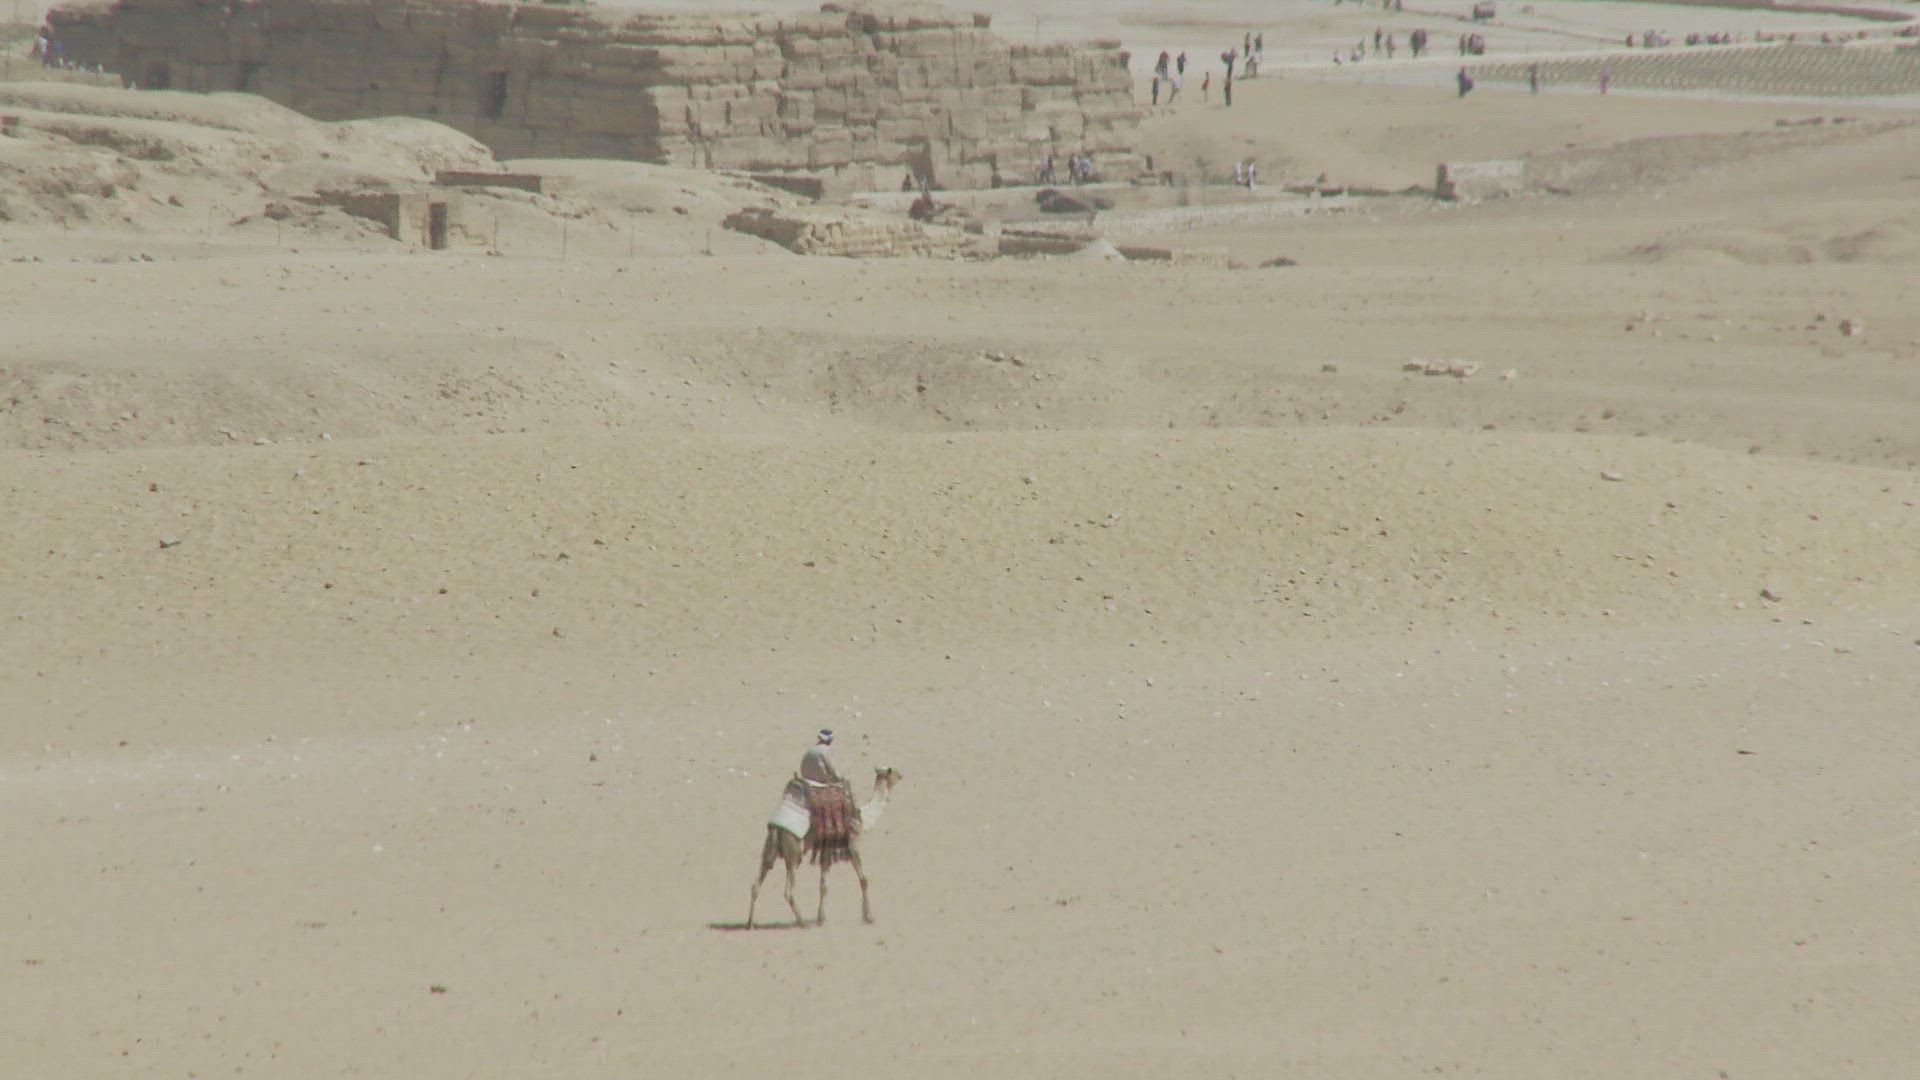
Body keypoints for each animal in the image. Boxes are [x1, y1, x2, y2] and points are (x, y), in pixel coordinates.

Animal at [748, 766, 901, 929]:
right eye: (894, 771)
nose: (902, 775)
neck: (863, 816)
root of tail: (778, 827)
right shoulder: (854, 844)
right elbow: (864, 879)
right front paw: (869, 917)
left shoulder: (826, 850)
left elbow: (823, 885)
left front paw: (821, 918)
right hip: (793, 851)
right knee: (788, 890)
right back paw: (802, 923)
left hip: (769, 846)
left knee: (756, 883)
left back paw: (750, 924)